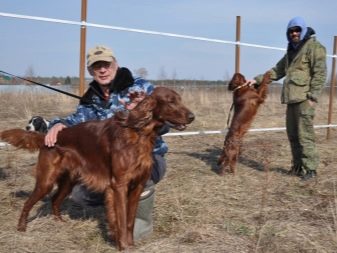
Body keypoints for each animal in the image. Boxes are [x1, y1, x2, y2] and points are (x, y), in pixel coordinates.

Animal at [0, 86, 194, 250]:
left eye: (180, 99)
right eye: (170, 101)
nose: (192, 116)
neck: (139, 133)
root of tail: (46, 136)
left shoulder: (137, 186)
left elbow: (130, 221)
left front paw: (129, 244)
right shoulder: (119, 186)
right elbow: (122, 219)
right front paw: (124, 246)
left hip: (68, 181)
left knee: (55, 200)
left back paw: (59, 222)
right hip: (46, 180)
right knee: (28, 202)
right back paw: (21, 227)